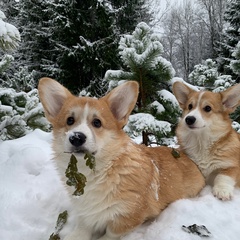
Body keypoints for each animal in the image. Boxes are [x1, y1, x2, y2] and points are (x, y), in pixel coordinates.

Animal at [38, 77, 203, 240]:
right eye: (70, 120)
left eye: (97, 122)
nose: (76, 138)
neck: (93, 173)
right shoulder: (85, 212)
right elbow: (83, 228)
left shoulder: (128, 215)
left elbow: (110, 233)